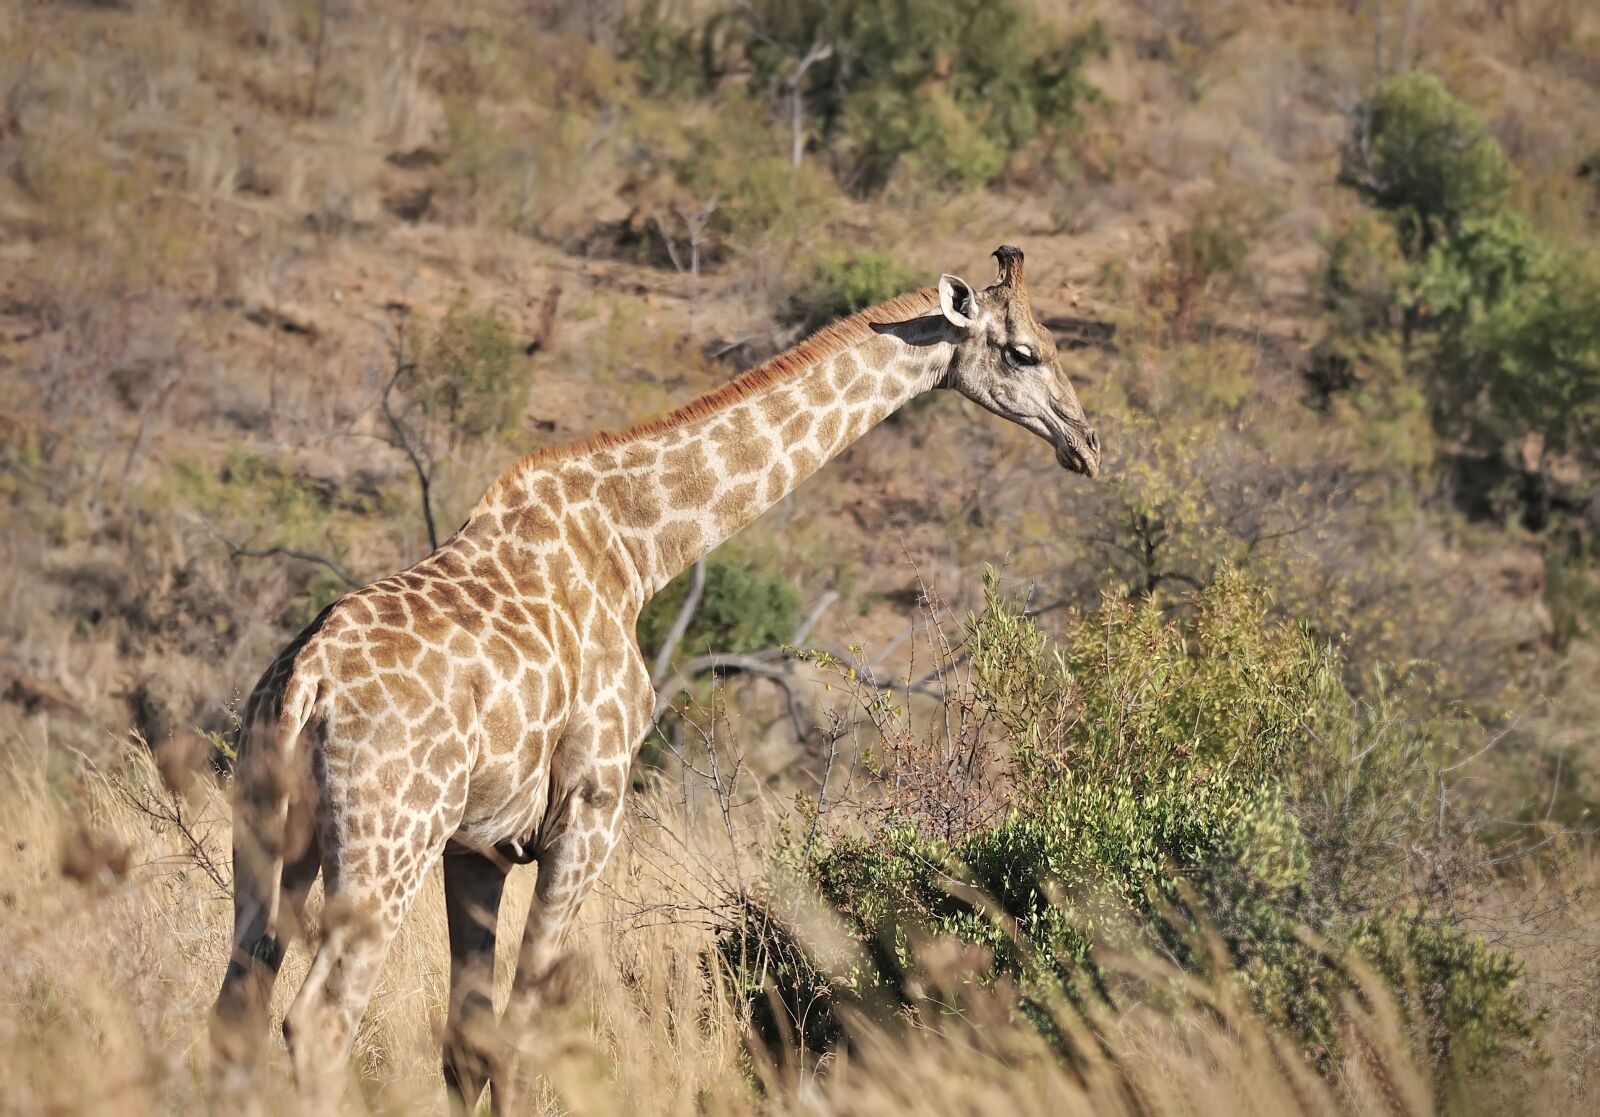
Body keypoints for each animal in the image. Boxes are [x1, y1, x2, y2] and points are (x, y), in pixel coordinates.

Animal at [212, 243, 1100, 1107]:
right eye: (1024, 351)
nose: (1087, 444)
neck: (636, 548)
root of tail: (305, 684)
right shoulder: (588, 809)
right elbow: (523, 1037)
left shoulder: (479, 844)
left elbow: (469, 1044)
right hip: (388, 837)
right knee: (319, 1019)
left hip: (269, 835)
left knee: (238, 1008)